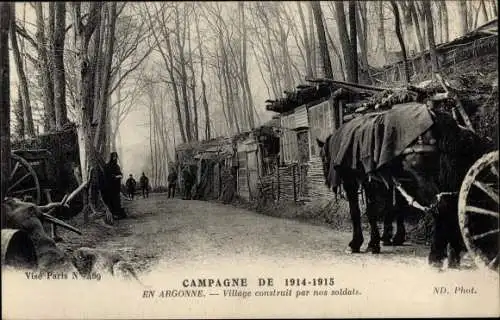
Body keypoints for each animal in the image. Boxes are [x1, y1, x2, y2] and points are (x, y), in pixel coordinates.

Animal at [318, 104, 490, 268]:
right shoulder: (375, 182)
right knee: (454, 208)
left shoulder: (352, 180)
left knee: (442, 208)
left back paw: (435, 257)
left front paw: (357, 243)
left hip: (423, 180)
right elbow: (380, 211)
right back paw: (454, 257)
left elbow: (358, 212)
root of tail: (439, 119)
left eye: (322, 158)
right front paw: (376, 242)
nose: (326, 180)